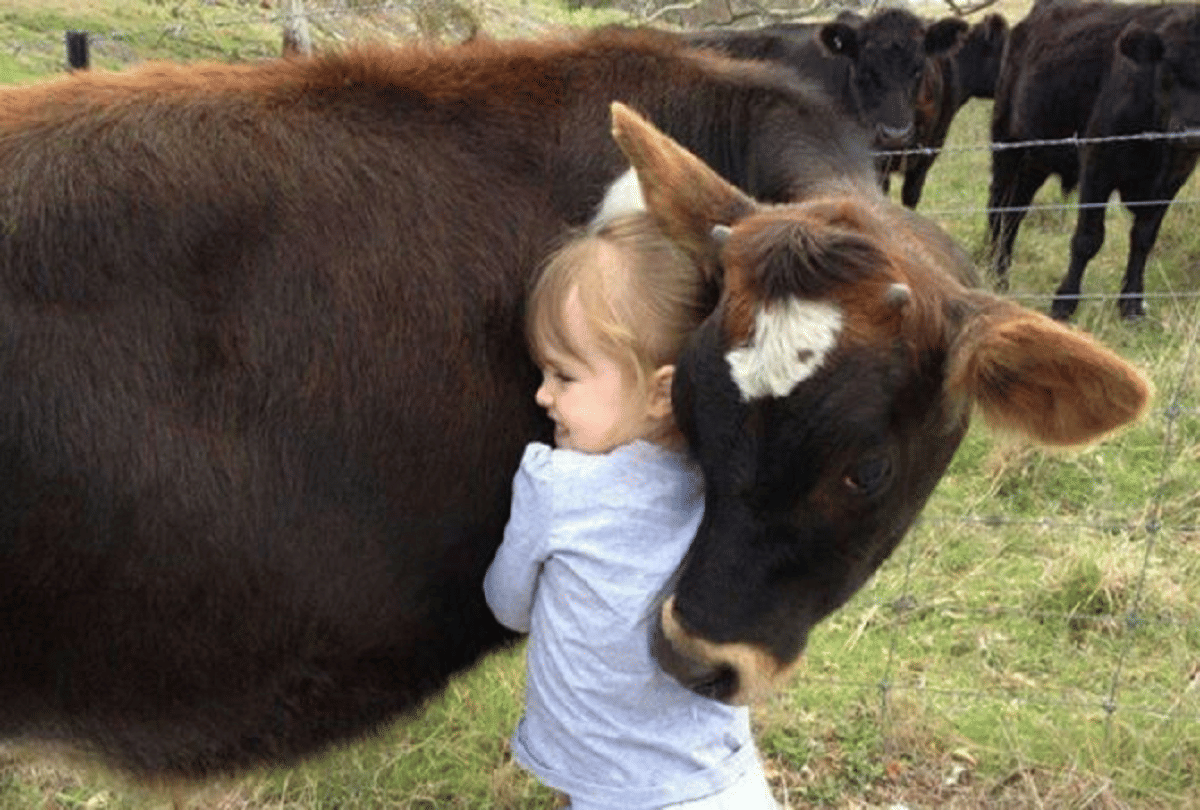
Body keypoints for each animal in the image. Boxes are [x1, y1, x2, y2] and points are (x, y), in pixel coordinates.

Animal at [987, 0, 1200, 320]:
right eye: (1168, 69)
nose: (1191, 133)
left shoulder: (1172, 178)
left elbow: (1143, 238)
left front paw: (1132, 305)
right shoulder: (1097, 165)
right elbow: (1088, 238)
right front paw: (1064, 302)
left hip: (1035, 160)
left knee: (1014, 212)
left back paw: (1000, 277)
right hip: (1008, 145)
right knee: (998, 208)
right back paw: (993, 272)